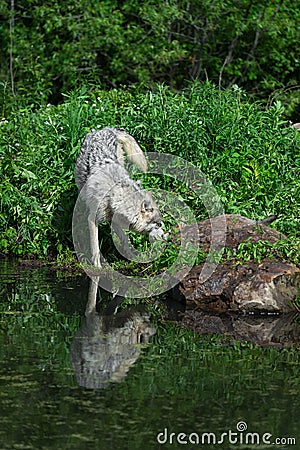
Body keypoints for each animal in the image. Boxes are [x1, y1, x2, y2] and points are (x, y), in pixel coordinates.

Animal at [74, 125, 165, 268]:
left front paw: (130, 255)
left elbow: (123, 238)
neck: (113, 194)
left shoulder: (114, 218)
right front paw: (97, 267)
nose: (166, 238)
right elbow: (95, 246)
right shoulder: (93, 219)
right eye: (158, 224)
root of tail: (106, 129)